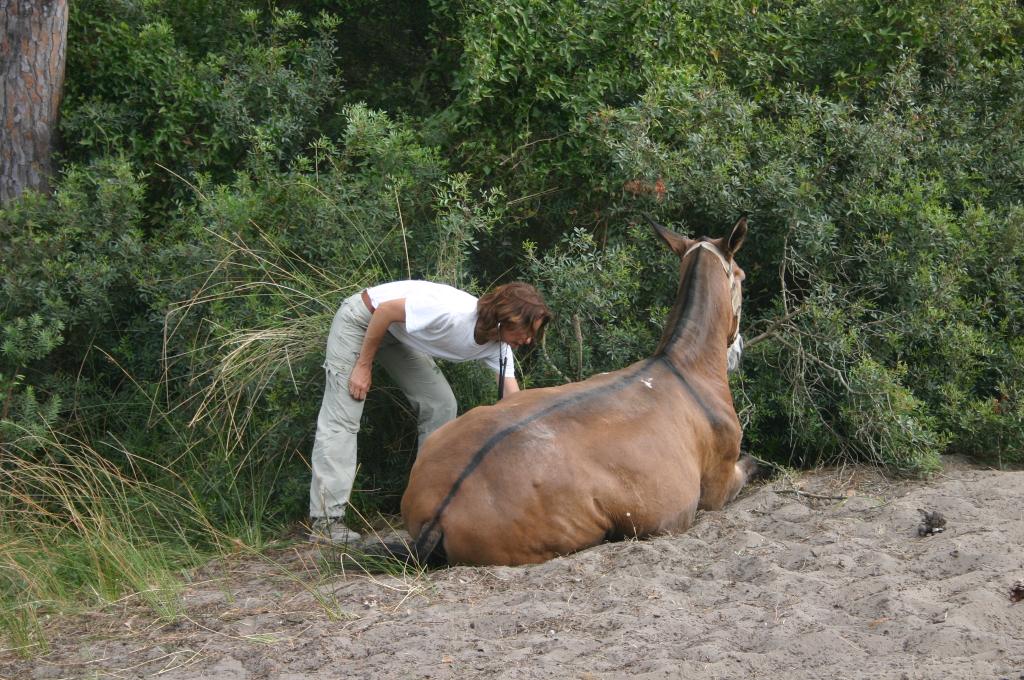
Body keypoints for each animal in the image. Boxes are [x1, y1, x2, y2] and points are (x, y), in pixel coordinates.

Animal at [395, 218, 757, 569]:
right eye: (741, 276)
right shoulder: (719, 489)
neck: (683, 365)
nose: (738, 346)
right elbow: (752, 464)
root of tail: (439, 510)